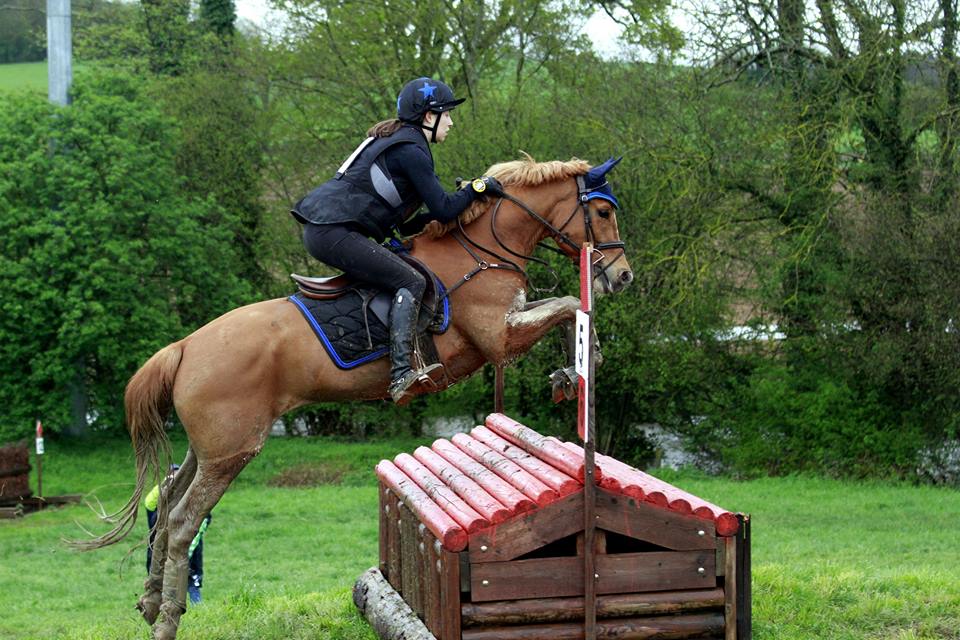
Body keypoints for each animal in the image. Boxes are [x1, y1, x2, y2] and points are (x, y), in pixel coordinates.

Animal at [75, 156, 632, 640]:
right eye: (603, 212)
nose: (622, 275)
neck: (481, 250)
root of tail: (186, 346)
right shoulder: (498, 337)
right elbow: (569, 304)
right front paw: (578, 365)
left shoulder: (507, 328)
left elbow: (565, 306)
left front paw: (570, 371)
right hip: (232, 453)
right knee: (183, 521)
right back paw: (169, 619)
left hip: (210, 448)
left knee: (168, 500)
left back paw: (150, 602)